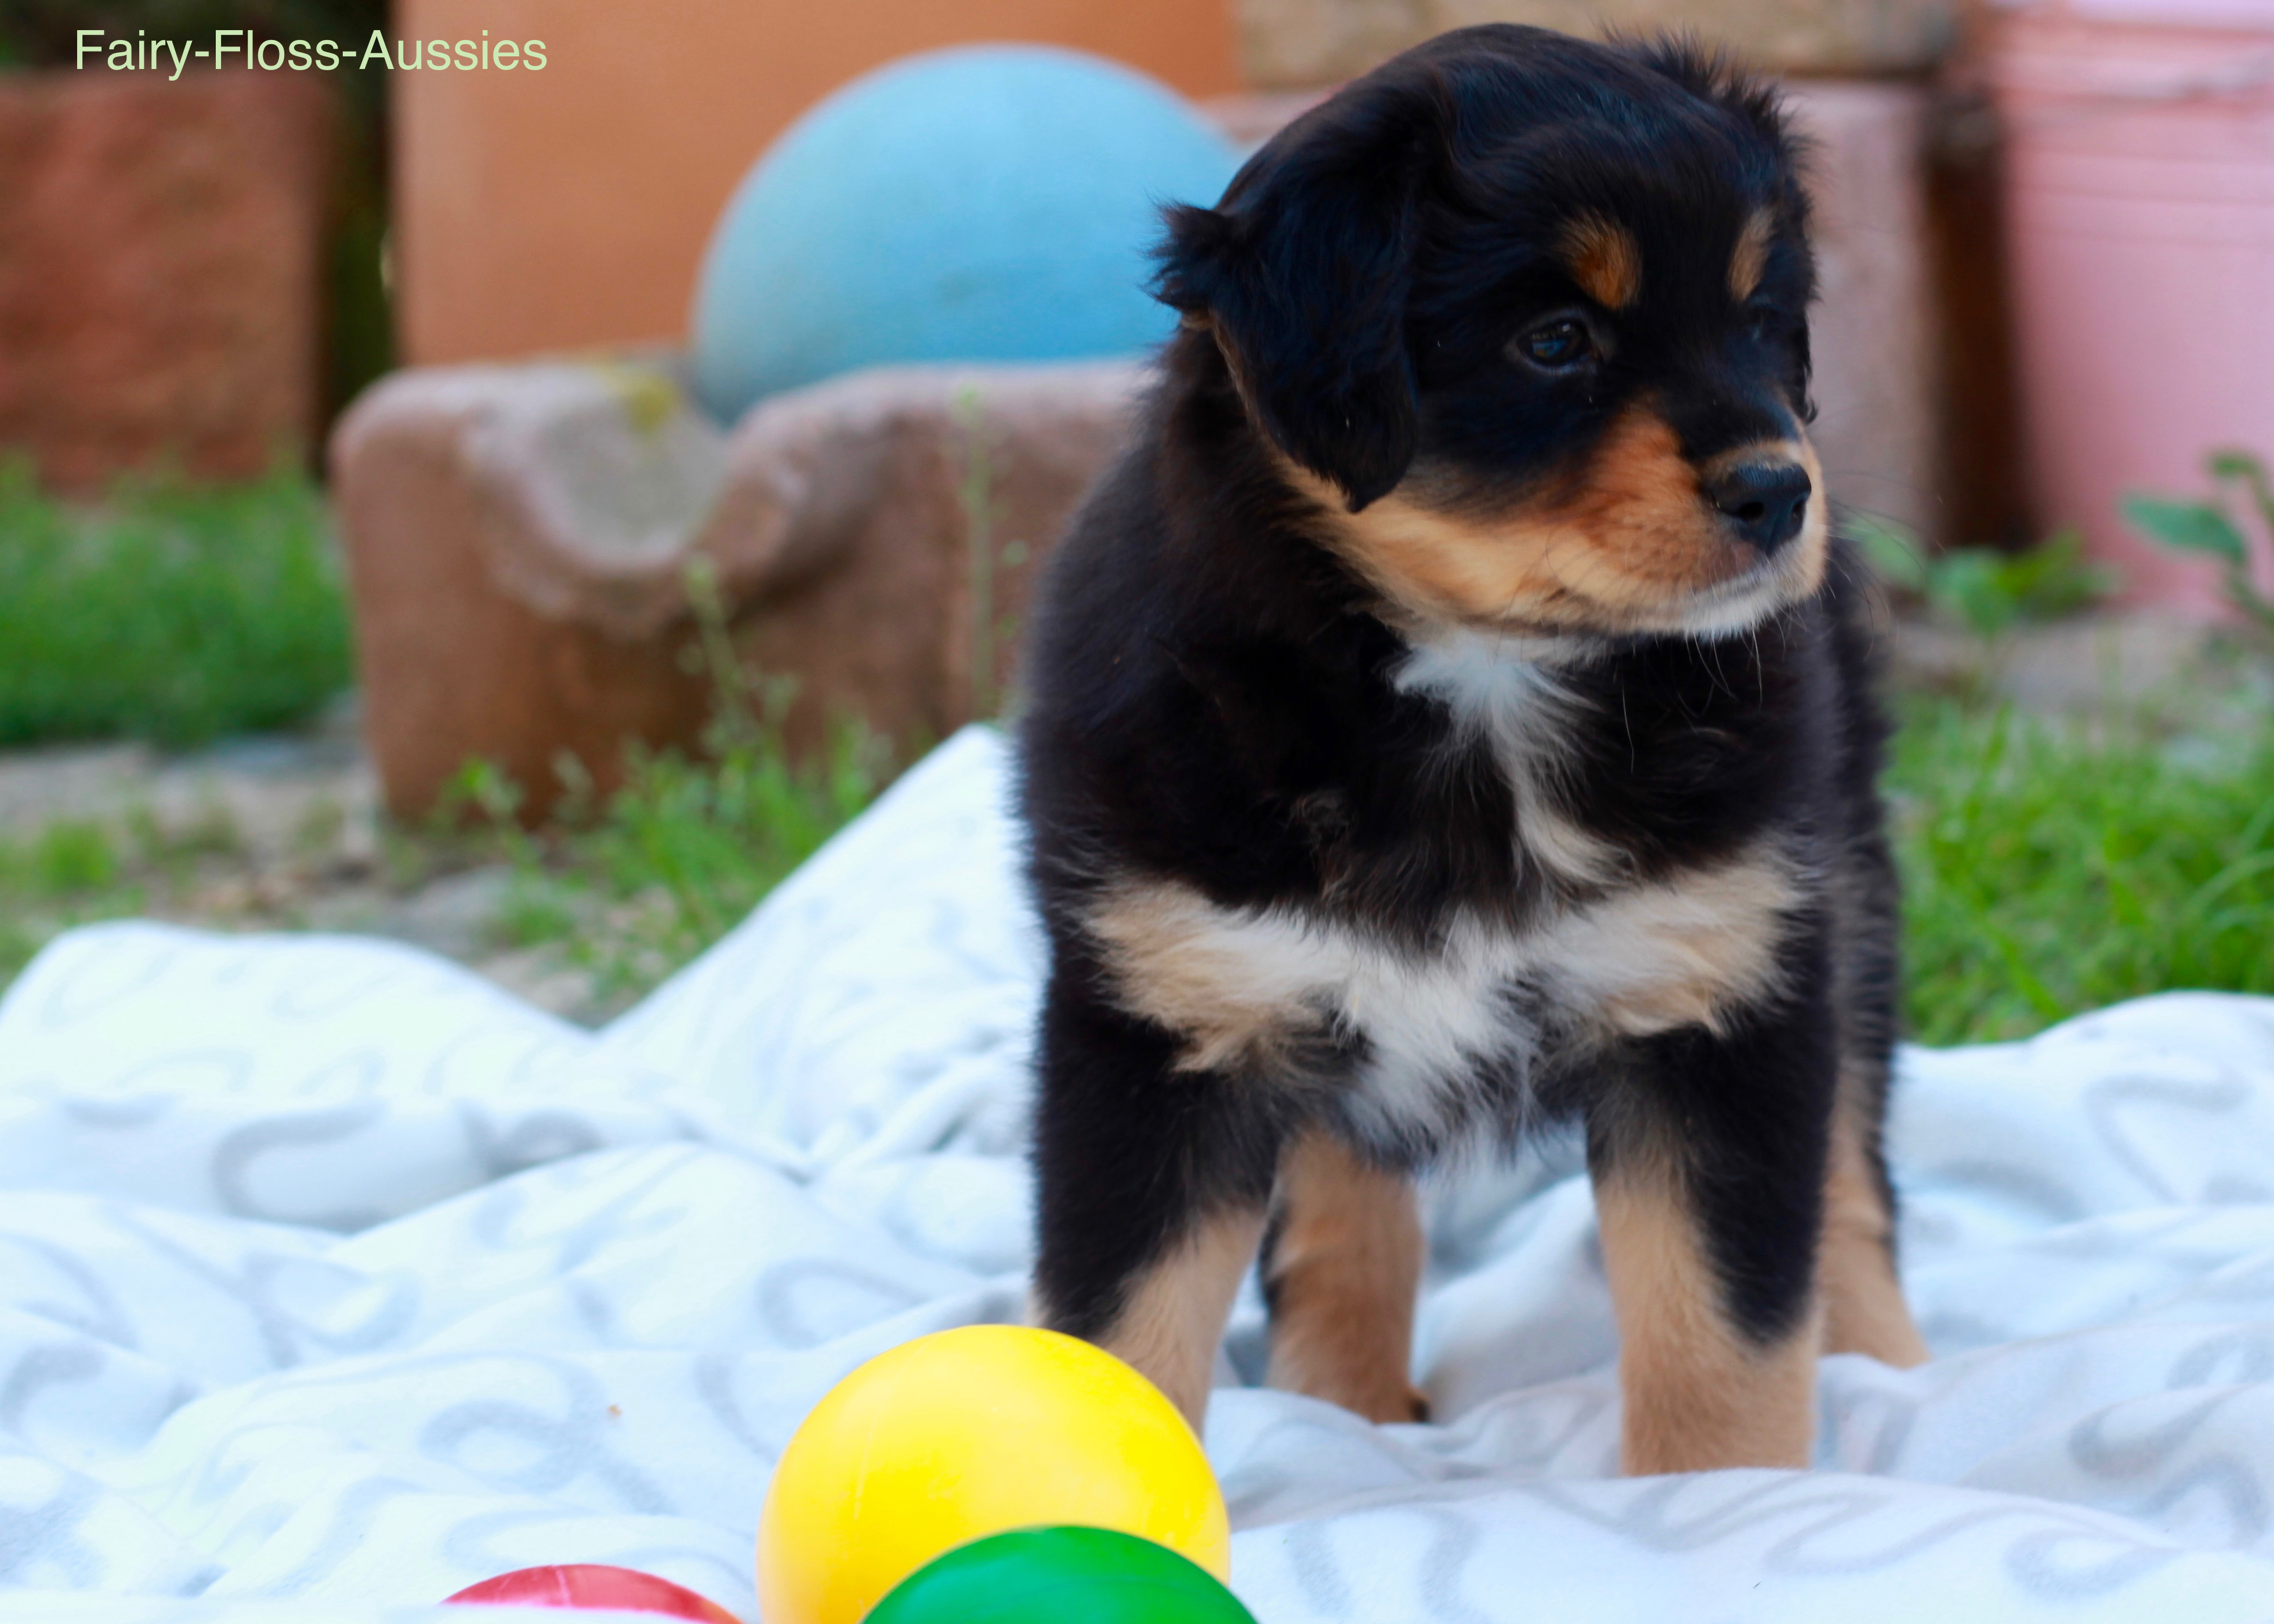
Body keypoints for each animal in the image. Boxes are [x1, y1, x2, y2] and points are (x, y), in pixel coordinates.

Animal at [1014, 22, 1919, 1464]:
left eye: (1758, 322)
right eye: (1554, 341)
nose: (1782, 492)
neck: (1478, 685)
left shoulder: (1721, 991)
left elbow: (1725, 1341)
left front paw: (1733, 1499)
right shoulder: (1164, 1021)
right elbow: (1121, 1331)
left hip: (1837, 886)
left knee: (1851, 1152)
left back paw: (1896, 1369)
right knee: (1345, 1185)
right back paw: (1342, 1399)